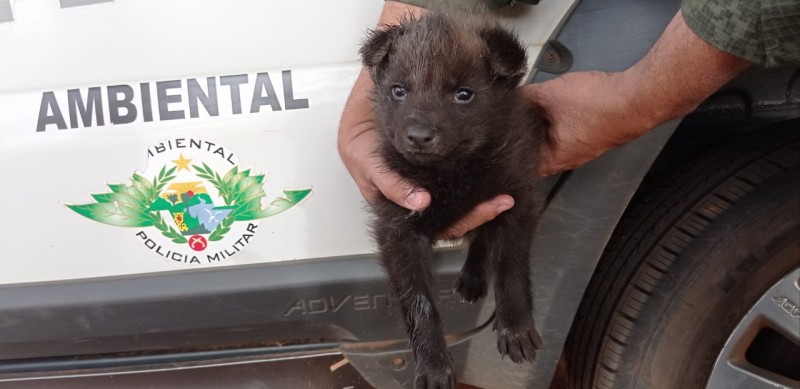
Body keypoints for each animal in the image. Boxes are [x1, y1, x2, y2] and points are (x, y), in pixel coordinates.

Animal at [360, 9, 544, 388]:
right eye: (398, 90)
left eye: (464, 94)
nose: (419, 136)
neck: (449, 172)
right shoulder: (398, 227)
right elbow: (420, 302)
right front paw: (433, 364)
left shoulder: (517, 199)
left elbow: (511, 267)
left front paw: (516, 327)